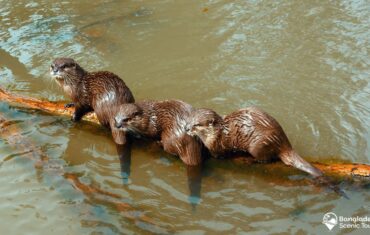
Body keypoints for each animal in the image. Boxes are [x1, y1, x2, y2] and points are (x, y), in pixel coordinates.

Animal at [185, 107, 324, 177]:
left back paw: (250, 160)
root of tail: (282, 142)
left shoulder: (218, 146)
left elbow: (218, 155)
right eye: (189, 119)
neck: (218, 133)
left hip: (259, 144)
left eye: (196, 124)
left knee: (265, 159)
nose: (186, 128)